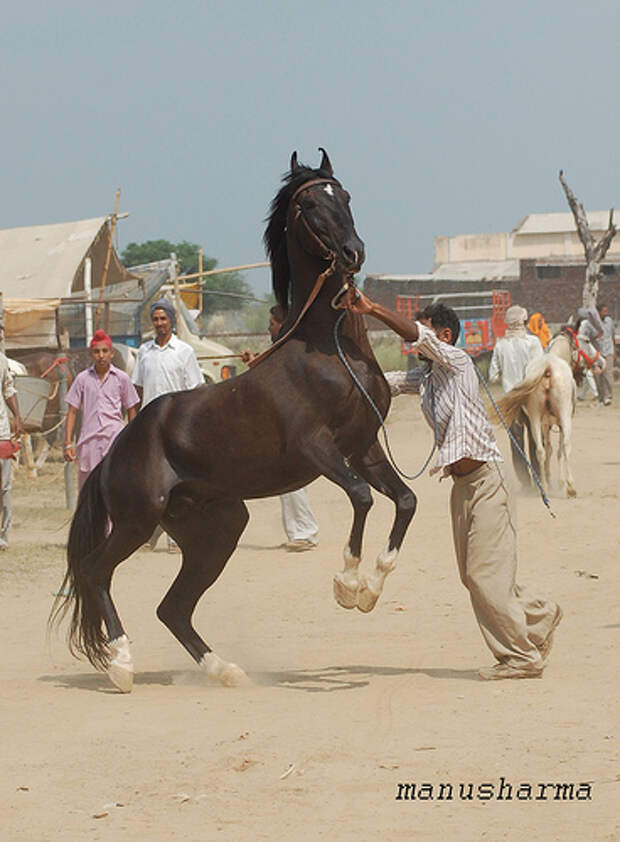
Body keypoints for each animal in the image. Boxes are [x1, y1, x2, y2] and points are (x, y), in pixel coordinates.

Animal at [50, 149, 417, 693]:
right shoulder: (318, 449)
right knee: (97, 572)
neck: (328, 348)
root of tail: (114, 453)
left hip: (217, 528)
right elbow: (362, 497)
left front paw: (369, 590)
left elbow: (405, 501)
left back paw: (223, 670)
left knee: (173, 608)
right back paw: (122, 666)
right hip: (138, 520)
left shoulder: (363, 447)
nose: (353, 253)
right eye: (310, 204)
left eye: (346, 195)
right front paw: (346, 584)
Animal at [496, 352, 576, 499]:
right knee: (565, 447)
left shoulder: (546, 424)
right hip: (564, 415)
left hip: (535, 417)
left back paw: (543, 487)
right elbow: (557, 451)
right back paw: (570, 488)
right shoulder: (555, 425)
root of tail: (548, 366)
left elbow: (549, 449)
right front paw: (560, 483)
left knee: (540, 450)